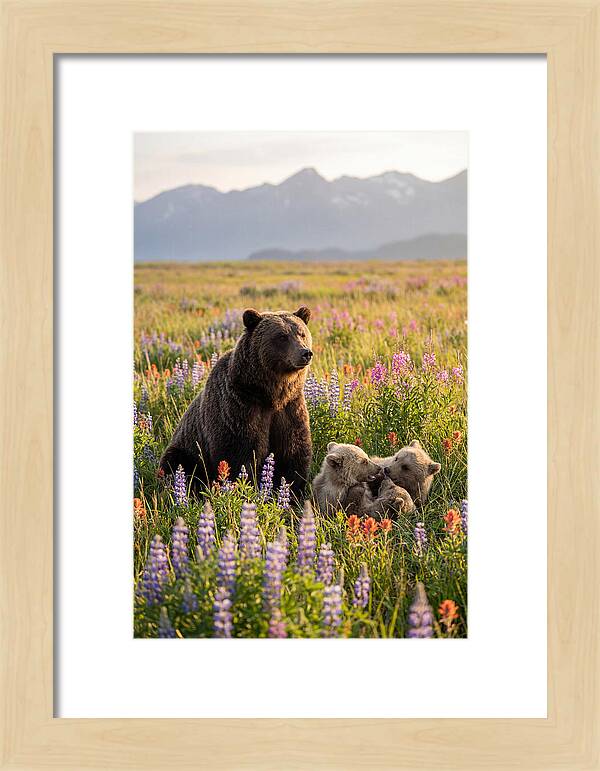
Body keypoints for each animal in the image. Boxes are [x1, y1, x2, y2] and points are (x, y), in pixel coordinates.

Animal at [159, 306, 313, 498]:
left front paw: (292, 493)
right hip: (186, 450)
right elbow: (239, 454)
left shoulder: (290, 408)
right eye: (282, 336)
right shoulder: (239, 407)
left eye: (302, 333)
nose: (305, 353)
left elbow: (293, 452)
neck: (270, 394)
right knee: (175, 464)